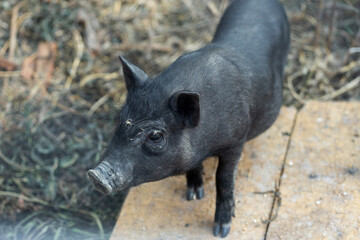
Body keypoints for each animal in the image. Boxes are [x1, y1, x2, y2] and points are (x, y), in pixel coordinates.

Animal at [88, 0, 292, 237]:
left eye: (155, 136)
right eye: (121, 119)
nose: (96, 175)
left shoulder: (236, 141)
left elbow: (224, 179)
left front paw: (220, 231)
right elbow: (194, 168)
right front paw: (193, 196)